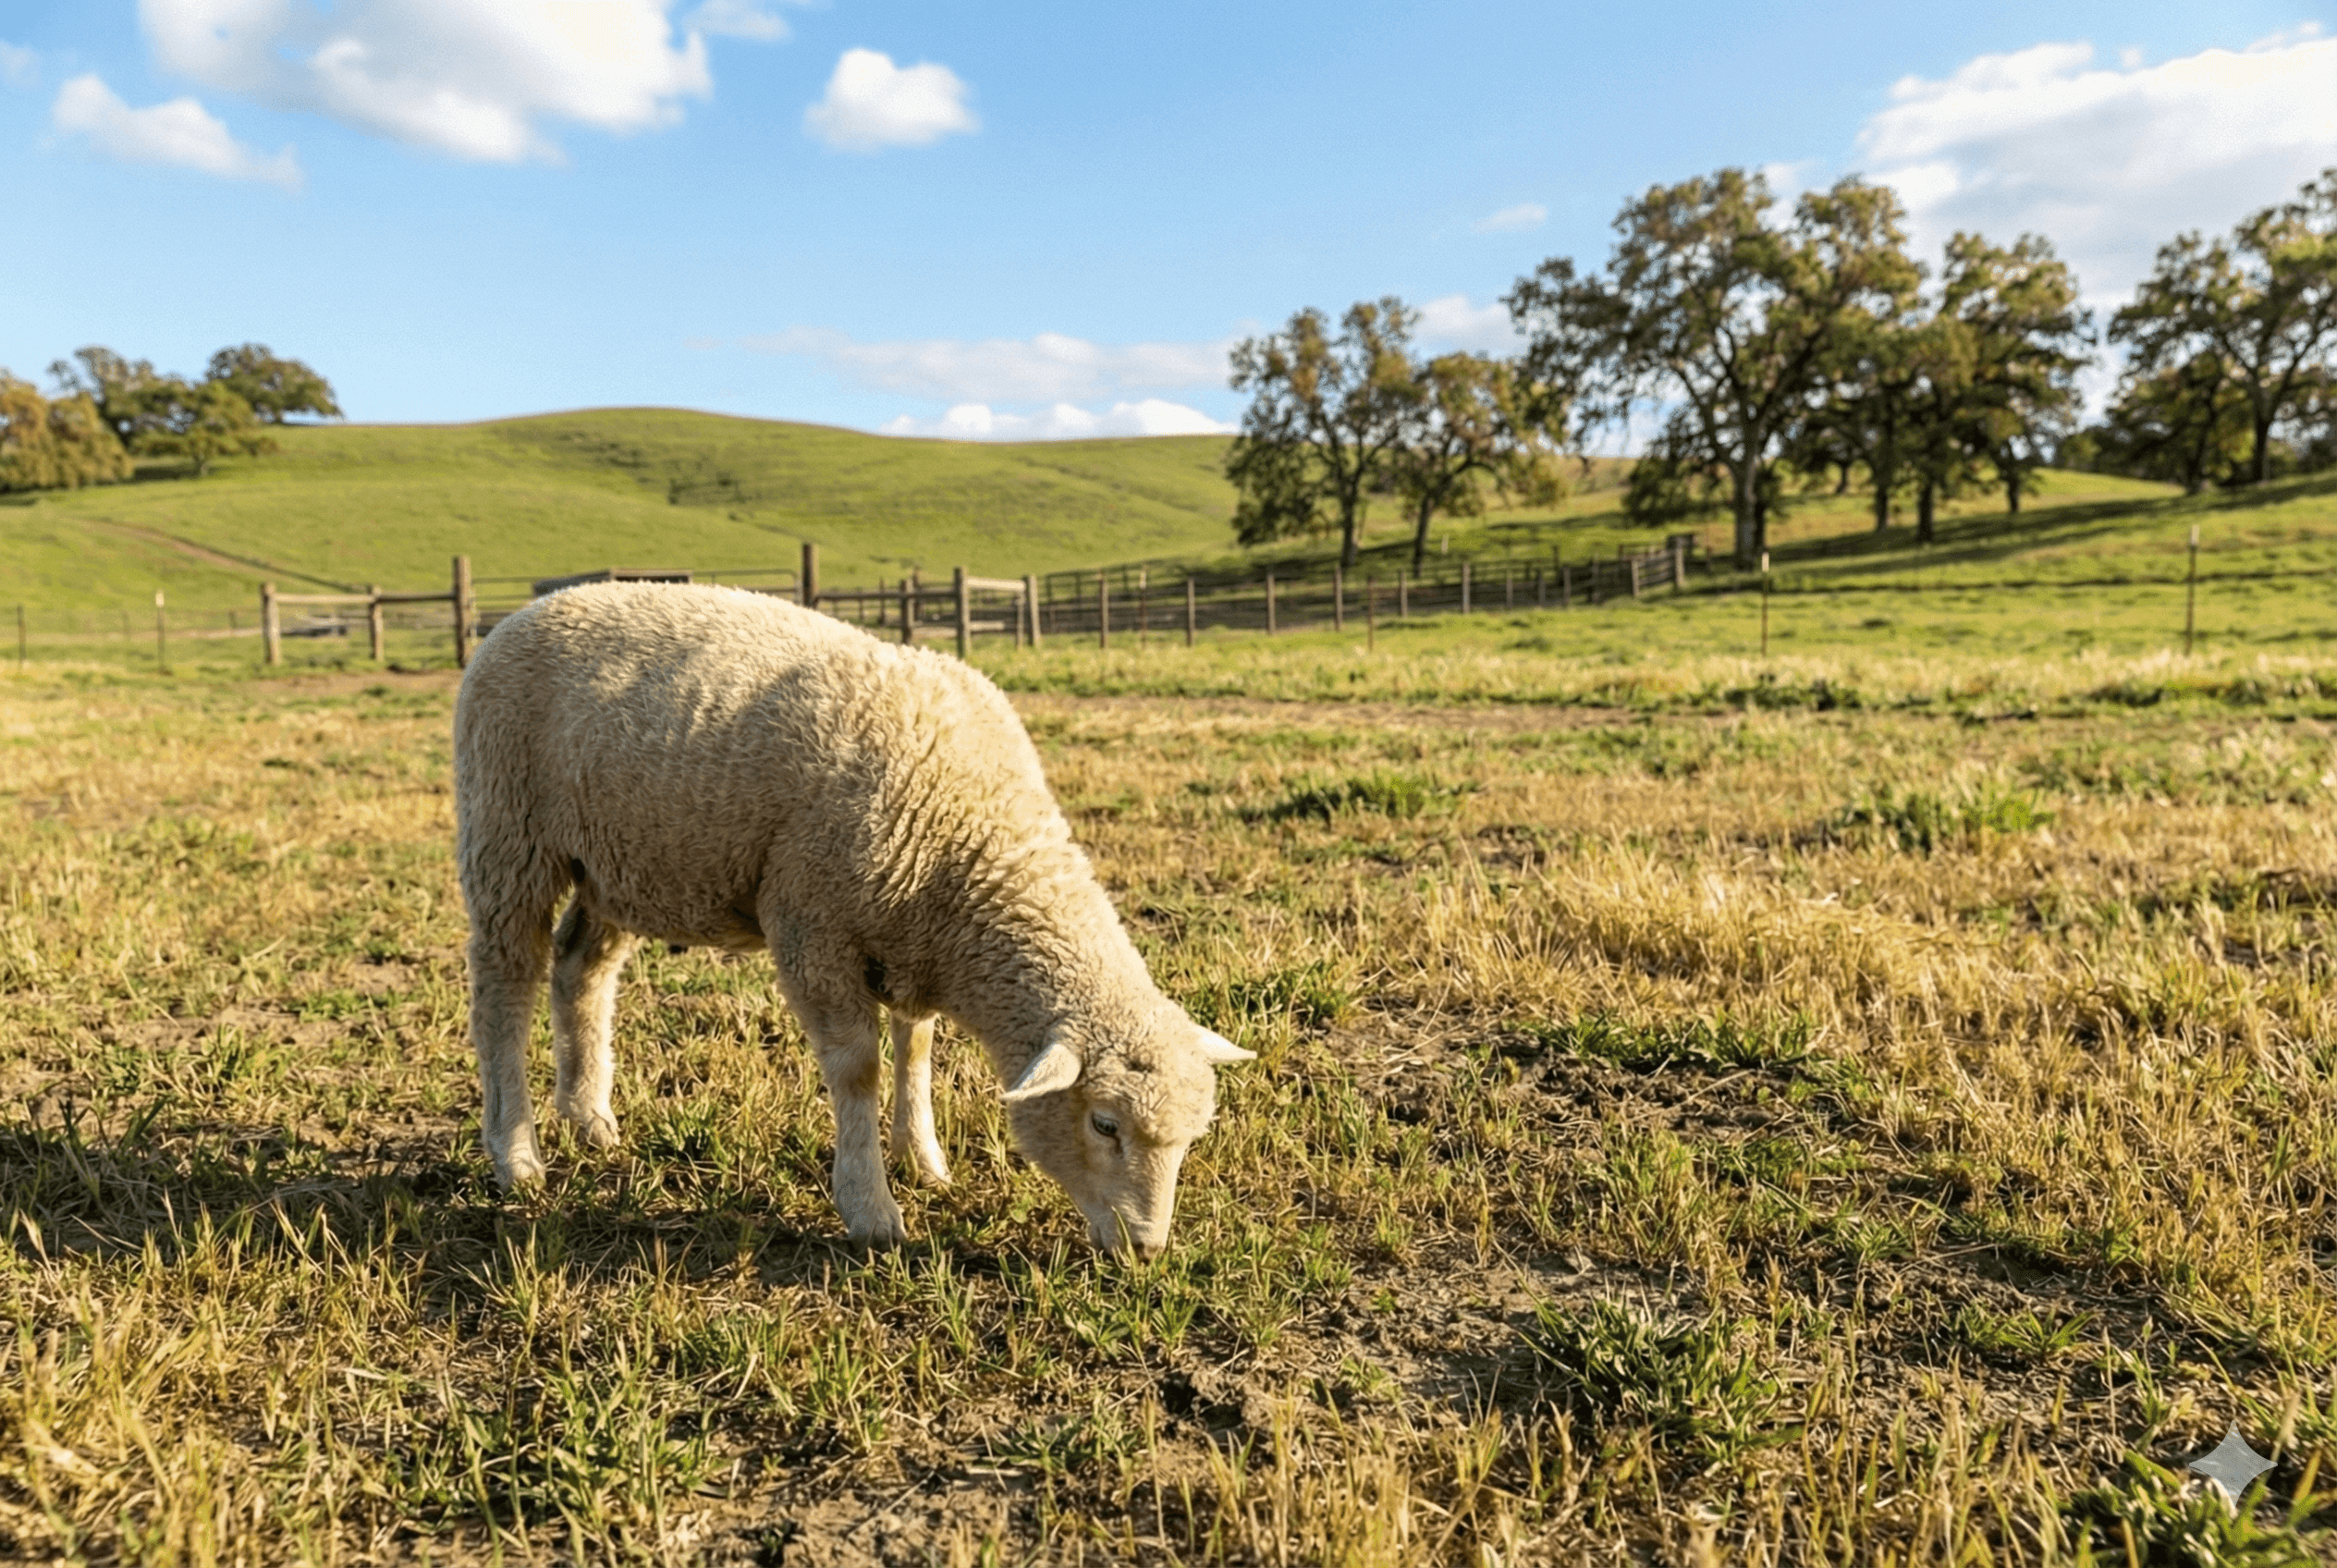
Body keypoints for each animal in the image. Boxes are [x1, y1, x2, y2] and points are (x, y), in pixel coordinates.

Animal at [453, 581, 1252, 1256]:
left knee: (581, 972)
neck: (973, 839)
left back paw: (588, 1119)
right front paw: (871, 1208)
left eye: (1191, 1137)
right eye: (1104, 1124)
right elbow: (859, 1068)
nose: (1148, 1249)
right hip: (508, 832)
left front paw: (923, 1159)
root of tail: (529, 610)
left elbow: (917, 1048)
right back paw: (517, 1154)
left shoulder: (914, 936)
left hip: (620, 864)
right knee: (504, 988)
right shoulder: (812, 924)